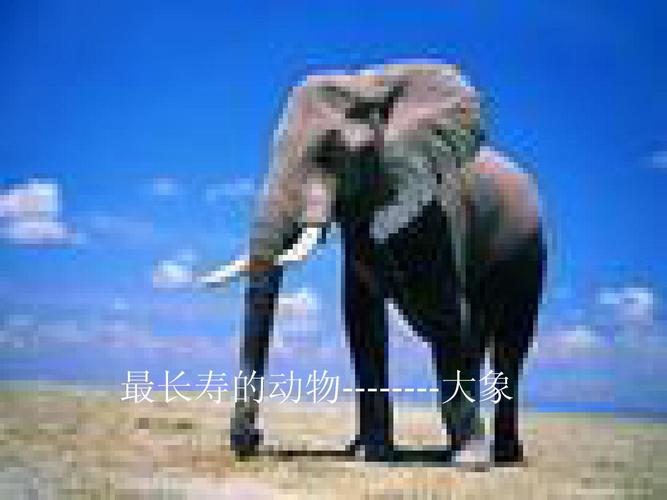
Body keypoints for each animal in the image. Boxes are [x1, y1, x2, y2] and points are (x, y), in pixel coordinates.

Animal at [200, 62, 546, 463]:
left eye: (330, 153)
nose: (254, 439)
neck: (371, 82)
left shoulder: (438, 210)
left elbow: (445, 313)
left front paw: (470, 463)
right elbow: (362, 321)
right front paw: (370, 453)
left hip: (531, 257)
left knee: (509, 346)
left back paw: (502, 455)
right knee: (473, 339)